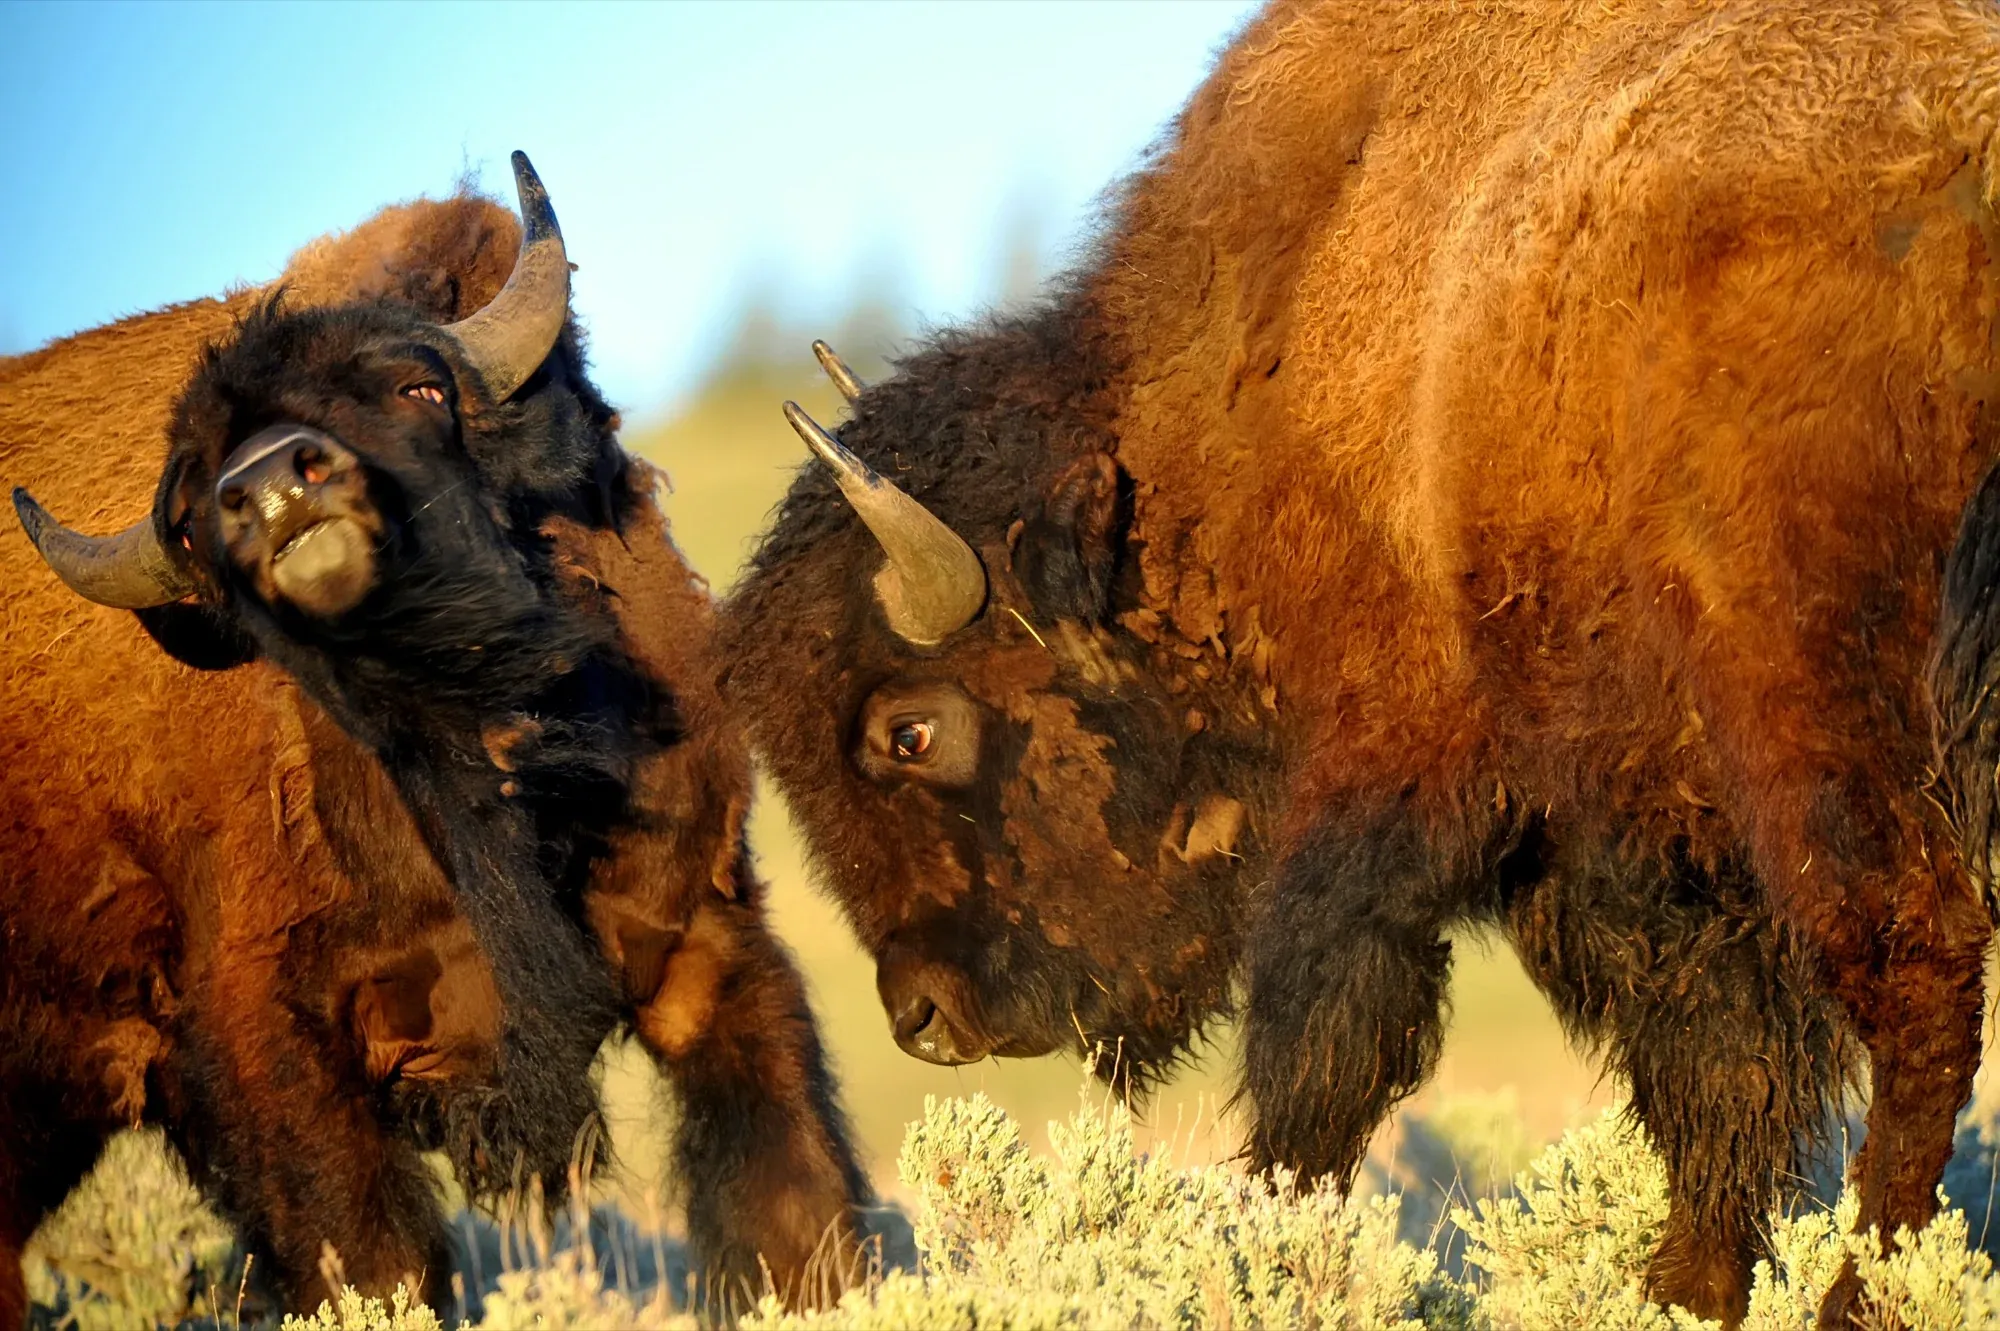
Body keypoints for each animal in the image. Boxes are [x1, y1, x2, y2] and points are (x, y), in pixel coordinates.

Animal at [5, 165, 863, 1321]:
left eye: (417, 390)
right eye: (190, 512)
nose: (271, 486)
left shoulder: (702, 938)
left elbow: (793, 1214)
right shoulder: (271, 1051)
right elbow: (377, 1263)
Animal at [721, 2, 2000, 1323]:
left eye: (908, 728)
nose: (921, 1014)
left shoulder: (1393, 781)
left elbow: (1324, 1047)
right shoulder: (1632, 835)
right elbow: (1717, 1065)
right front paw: (1680, 1286)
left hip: (1818, 716)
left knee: (1918, 971)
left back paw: (1866, 1286)